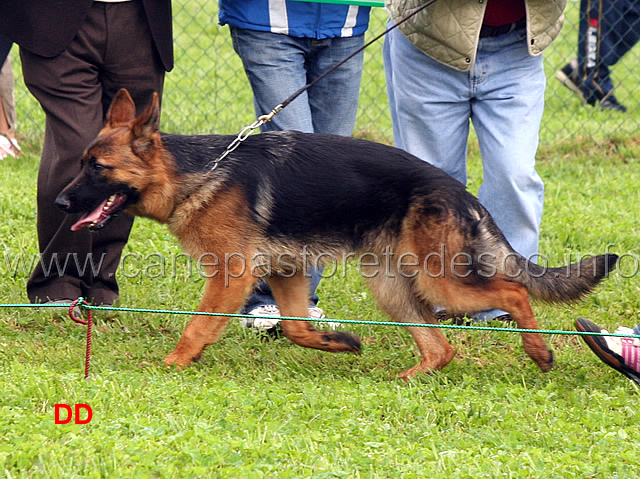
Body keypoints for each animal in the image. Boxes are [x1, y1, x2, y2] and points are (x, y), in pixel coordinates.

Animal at [57, 90, 616, 380]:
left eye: (98, 168)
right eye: (82, 163)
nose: (61, 203)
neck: (196, 173)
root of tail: (457, 190)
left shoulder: (231, 277)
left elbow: (197, 326)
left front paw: (172, 363)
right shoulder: (286, 272)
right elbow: (297, 328)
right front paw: (339, 341)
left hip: (440, 281)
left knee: (515, 290)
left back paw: (540, 353)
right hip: (393, 288)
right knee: (440, 347)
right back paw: (410, 378)